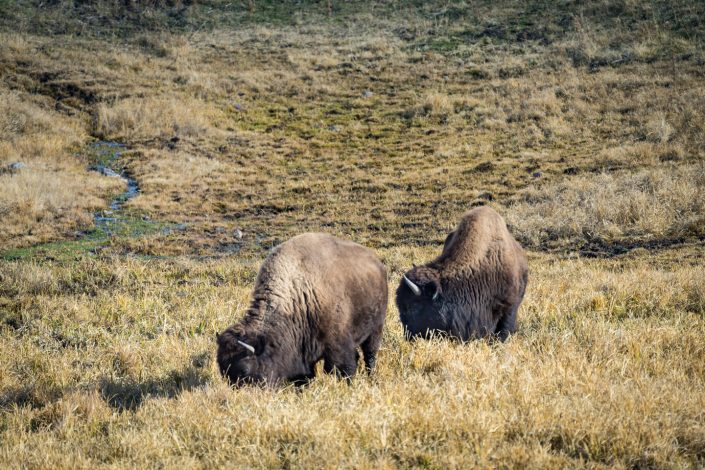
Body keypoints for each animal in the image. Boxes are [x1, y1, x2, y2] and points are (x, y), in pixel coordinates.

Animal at [217, 233, 388, 385]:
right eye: (223, 371)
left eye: (244, 370)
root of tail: (378, 263)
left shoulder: (339, 346)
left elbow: (345, 368)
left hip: (375, 329)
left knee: (370, 355)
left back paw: (371, 377)